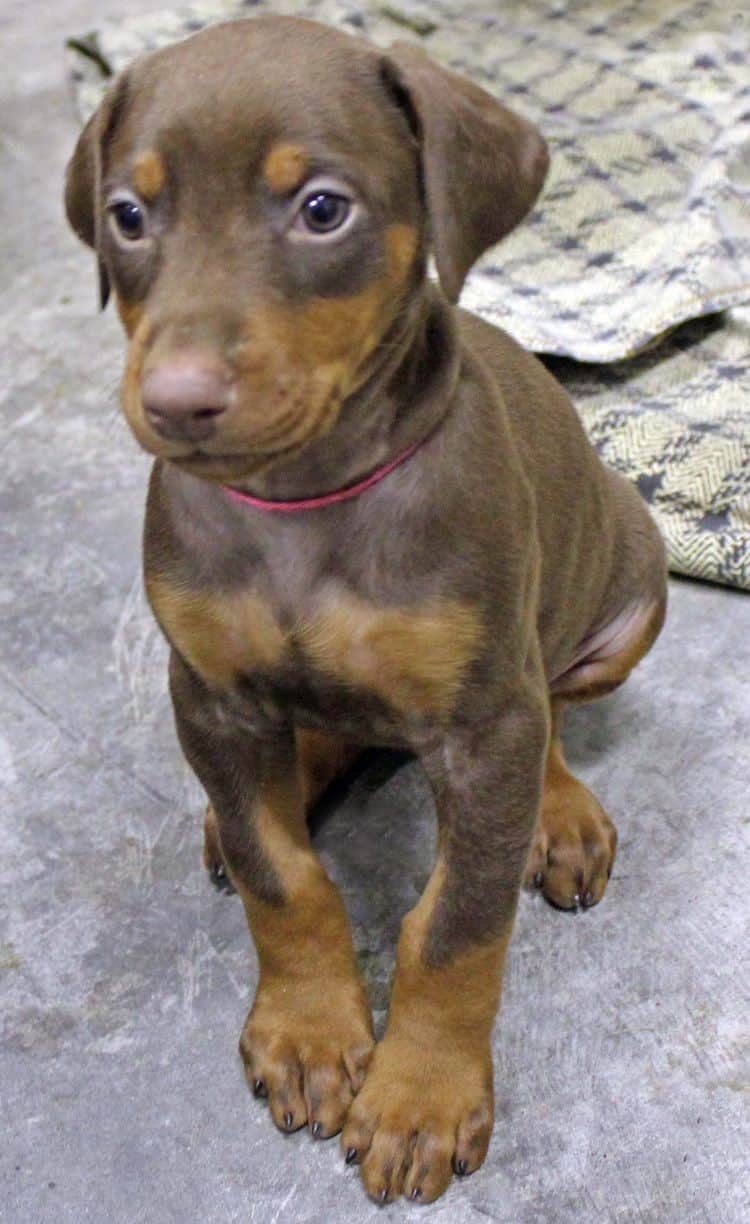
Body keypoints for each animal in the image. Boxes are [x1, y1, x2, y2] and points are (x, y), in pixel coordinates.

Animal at [63, 16, 660, 1204]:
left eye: (322, 208)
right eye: (129, 216)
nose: (175, 403)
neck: (305, 497)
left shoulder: (483, 722)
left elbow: (459, 923)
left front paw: (419, 1094)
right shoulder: (207, 694)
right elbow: (281, 877)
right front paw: (307, 1032)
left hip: (627, 586)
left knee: (556, 714)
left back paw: (560, 813)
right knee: (319, 740)